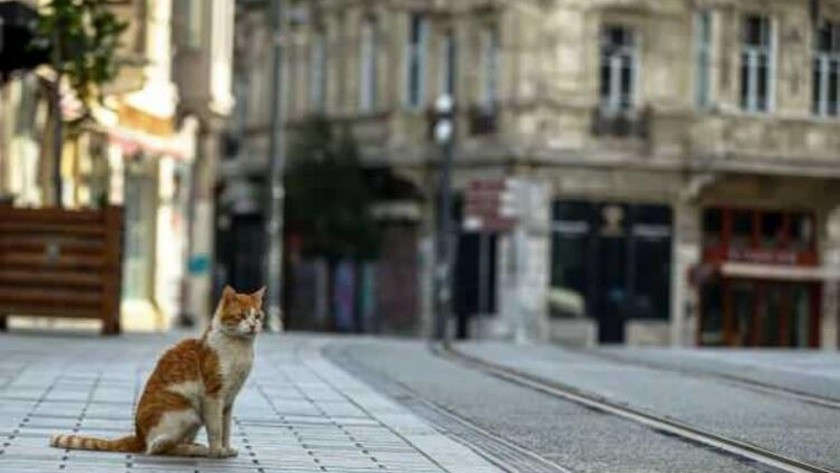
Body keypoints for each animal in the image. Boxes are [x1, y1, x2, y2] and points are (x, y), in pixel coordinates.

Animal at [50, 286, 266, 456]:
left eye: (257, 316)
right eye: (242, 315)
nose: (253, 325)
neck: (240, 350)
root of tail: (138, 436)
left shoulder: (228, 401)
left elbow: (226, 428)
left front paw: (226, 448)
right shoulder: (213, 396)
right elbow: (216, 429)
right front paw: (217, 451)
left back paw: (194, 446)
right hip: (189, 413)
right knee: (157, 447)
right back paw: (197, 450)